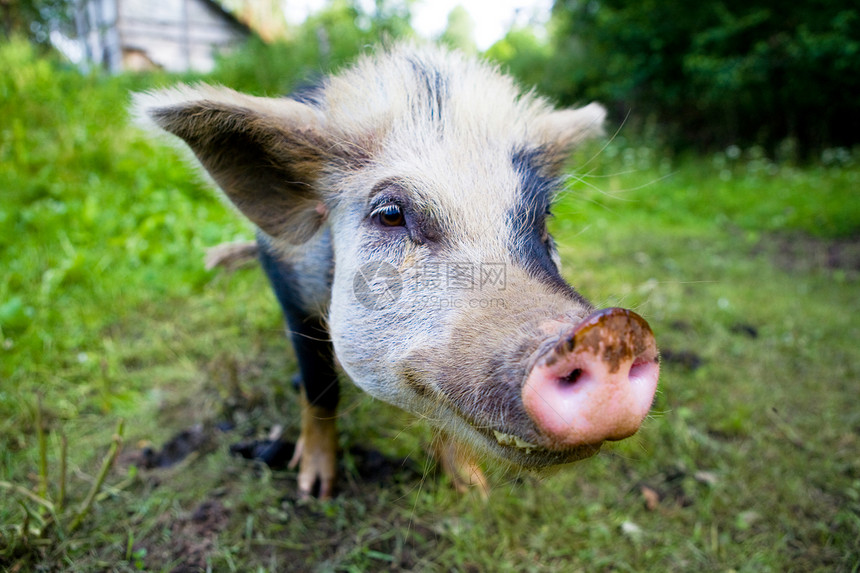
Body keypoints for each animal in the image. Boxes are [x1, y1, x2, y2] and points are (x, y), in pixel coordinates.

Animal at [133, 43, 660, 496]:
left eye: (544, 220)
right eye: (390, 214)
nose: (613, 328)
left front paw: (474, 489)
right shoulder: (287, 285)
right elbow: (320, 385)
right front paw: (314, 488)